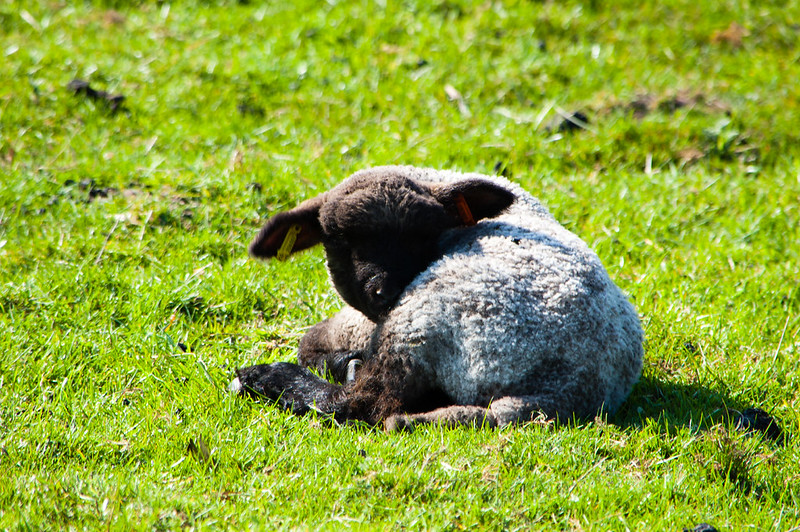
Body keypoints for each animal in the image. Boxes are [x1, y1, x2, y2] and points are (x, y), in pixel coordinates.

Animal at [230, 166, 644, 430]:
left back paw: (265, 377)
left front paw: (338, 362)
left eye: (421, 237)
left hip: (426, 323)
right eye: (341, 241)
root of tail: (561, 389)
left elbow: (310, 343)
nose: (386, 290)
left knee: (363, 404)